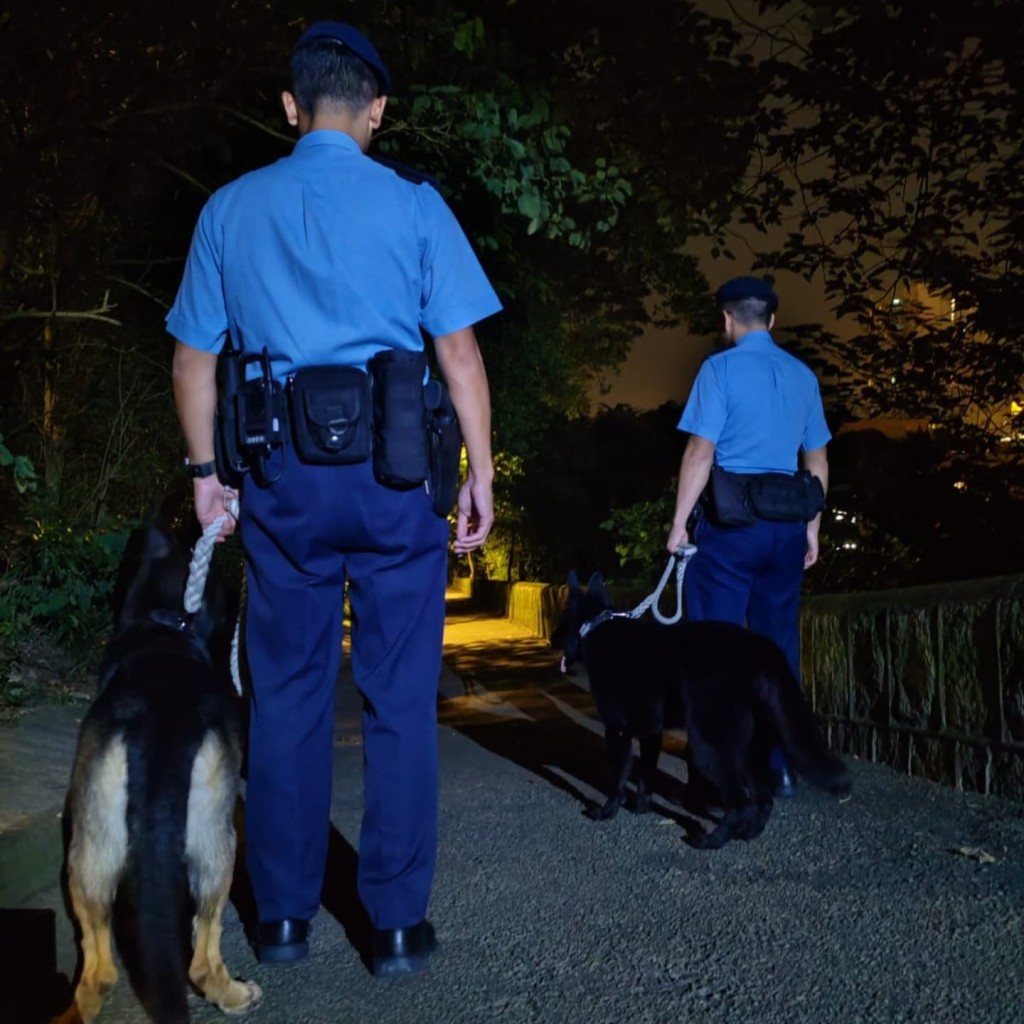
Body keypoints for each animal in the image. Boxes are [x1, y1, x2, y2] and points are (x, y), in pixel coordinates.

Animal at [52, 524, 264, 1019]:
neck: (163, 624)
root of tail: (159, 718)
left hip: (90, 849)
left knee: (98, 971)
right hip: (215, 842)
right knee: (203, 953)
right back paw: (233, 995)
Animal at [552, 573, 847, 851]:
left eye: (560, 621)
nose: (553, 637)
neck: (596, 626)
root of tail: (757, 647)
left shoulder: (617, 731)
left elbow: (617, 779)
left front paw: (607, 811)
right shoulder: (651, 733)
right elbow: (646, 776)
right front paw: (640, 807)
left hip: (709, 745)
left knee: (739, 801)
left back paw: (713, 840)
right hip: (747, 750)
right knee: (763, 797)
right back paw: (749, 833)